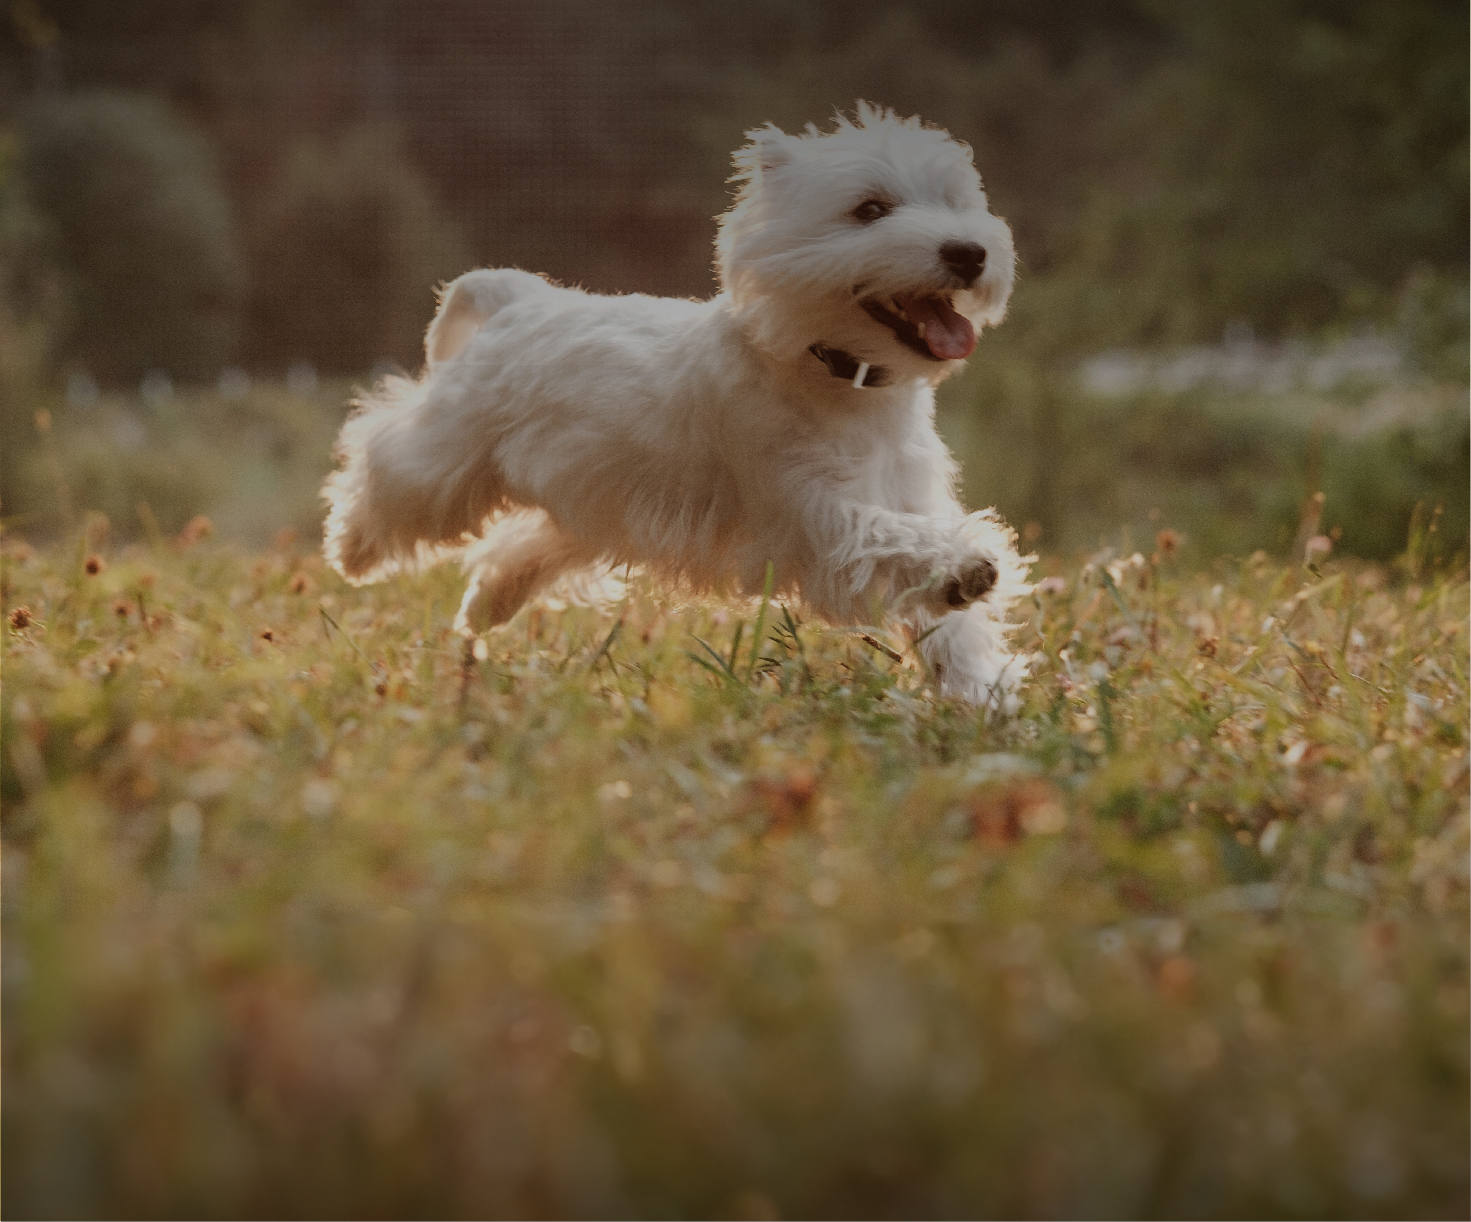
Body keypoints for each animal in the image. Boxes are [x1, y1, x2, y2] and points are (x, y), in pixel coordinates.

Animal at [322, 105, 1035, 705]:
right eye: (870, 208)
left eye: (956, 203)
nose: (969, 252)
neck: (843, 381)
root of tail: (518, 299)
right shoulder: (809, 511)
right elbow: (888, 538)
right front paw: (967, 568)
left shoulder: (908, 494)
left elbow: (947, 617)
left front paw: (980, 696)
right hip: (453, 456)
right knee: (385, 455)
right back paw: (350, 551)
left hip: (589, 499)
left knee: (523, 544)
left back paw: (484, 608)